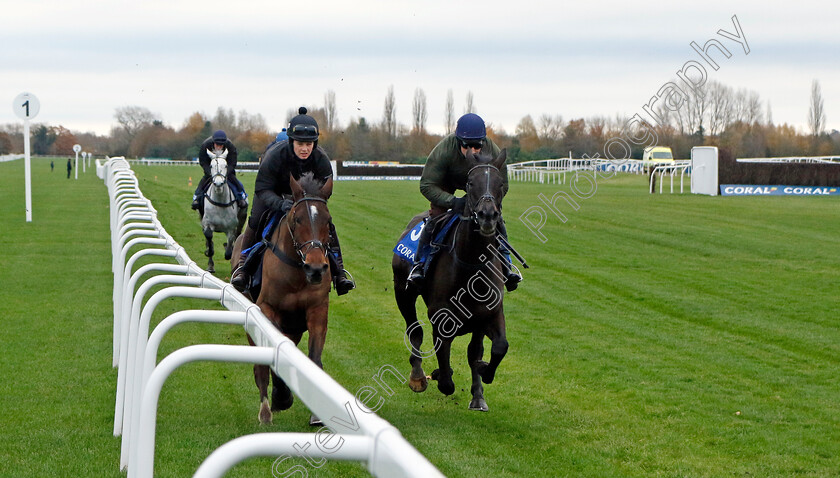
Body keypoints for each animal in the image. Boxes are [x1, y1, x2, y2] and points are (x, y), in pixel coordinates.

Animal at [233, 173, 334, 426]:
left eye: (328, 221)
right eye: (297, 219)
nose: (315, 268)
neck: (297, 272)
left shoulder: (318, 309)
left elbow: (314, 359)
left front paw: (316, 413)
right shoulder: (268, 310)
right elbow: (273, 358)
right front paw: (281, 397)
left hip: (294, 327)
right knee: (260, 367)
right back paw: (266, 411)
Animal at [394, 150, 512, 410]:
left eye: (500, 183)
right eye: (470, 183)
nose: (488, 216)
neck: (470, 265)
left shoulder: (490, 313)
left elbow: (494, 348)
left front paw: (481, 382)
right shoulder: (441, 318)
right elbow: (446, 375)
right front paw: (439, 374)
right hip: (402, 292)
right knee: (414, 330)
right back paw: (418, 376)